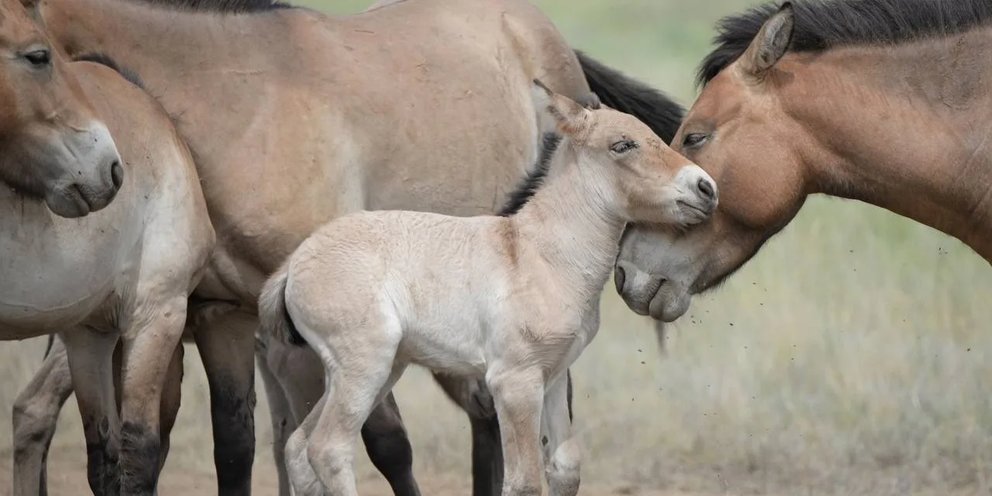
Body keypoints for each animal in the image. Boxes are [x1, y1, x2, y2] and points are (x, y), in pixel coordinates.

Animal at [0, 0, 216, 492]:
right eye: (38, 56)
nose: (110, 169)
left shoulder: (89, 333)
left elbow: (105, 458)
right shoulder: (158, 313)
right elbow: (138, 455)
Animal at [260, 79, 716, 494]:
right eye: (622, 145)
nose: (706, 188)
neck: (538, 255)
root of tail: (293, 264)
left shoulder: (553, 376)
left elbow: (564, 469)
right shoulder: (514, 382)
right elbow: (525, 480)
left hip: (379, 370)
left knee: (298, 446)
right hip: (363, 367)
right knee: (328, 448)